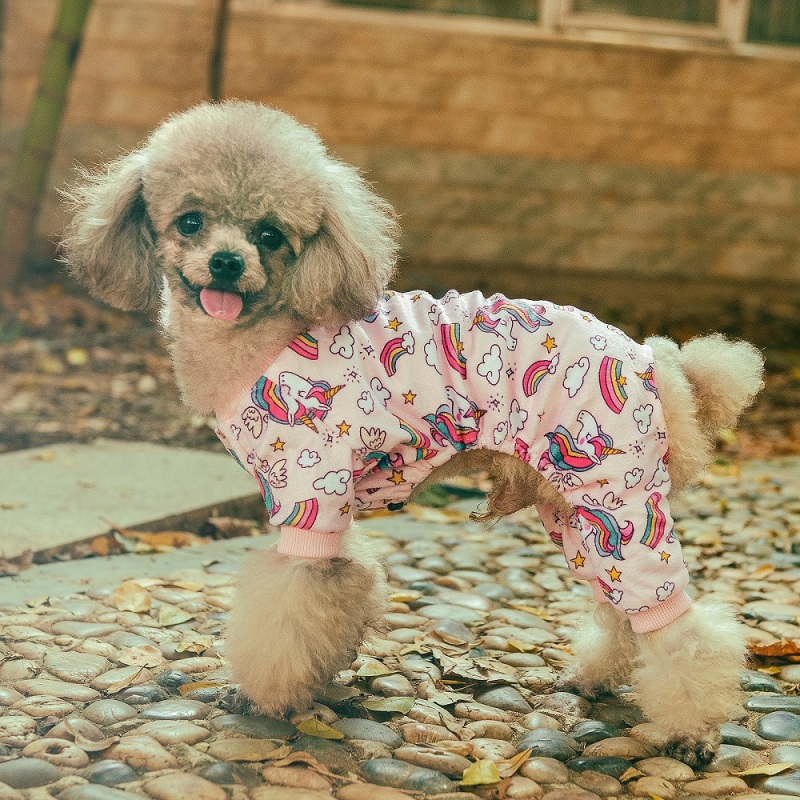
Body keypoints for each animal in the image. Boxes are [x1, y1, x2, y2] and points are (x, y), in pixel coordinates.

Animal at [62, 101, 764, 768]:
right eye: (190, 221)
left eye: (270, 235)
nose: (228, 263)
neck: (266, 333)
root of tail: (660, 364)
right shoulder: (330, 506)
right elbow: (339, 590)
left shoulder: (309, 489)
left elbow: (286, 609)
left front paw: (265, 699)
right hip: (580, 514)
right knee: (624, 610)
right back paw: (595, 679)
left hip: (618, 500)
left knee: (681, 628)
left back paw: (692, 732)